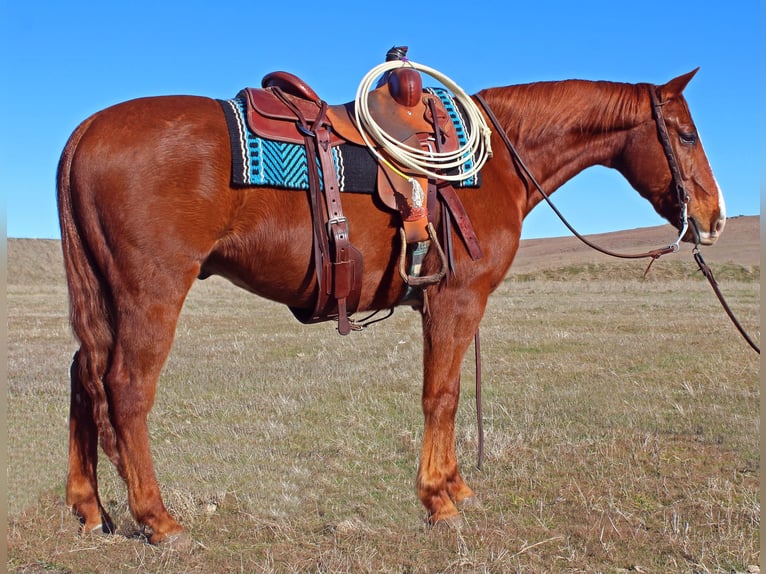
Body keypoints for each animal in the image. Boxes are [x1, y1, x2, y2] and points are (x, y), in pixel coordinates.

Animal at [58, 67, 728, 544]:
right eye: (687, 134)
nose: (715, 218)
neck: (493, 166)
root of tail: (85, 131)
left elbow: (448, 395)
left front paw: (457, 487)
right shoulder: (455, 300)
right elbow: (442, 395)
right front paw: (438, 499)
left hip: (103, 296)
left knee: (83, 376)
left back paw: (91, 509)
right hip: (152, 292)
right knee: (126, 388)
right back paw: (157, 518)